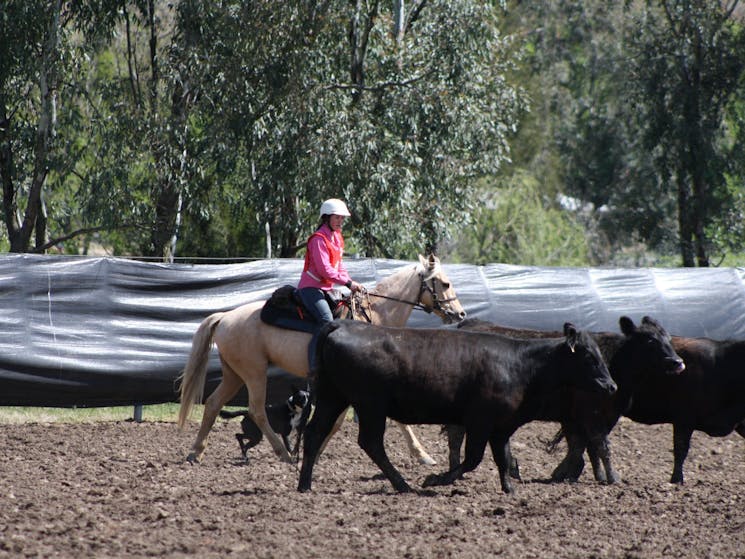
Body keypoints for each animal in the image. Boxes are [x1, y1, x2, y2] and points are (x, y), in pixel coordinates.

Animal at [176, 254, 464, 464]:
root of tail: (225, 316)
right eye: (445, 283)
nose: (460, 314)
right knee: (256, 411)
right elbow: (342, 422)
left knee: (213, 404)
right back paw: (284, 453)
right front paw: (423, 455)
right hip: (254, 374)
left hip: (234, 374)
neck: (375, 315)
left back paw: (195, 452)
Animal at [296, 320, 616, 494]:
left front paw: (509, 488)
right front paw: (436, 479)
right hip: (369, 404)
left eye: (601, 354)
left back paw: (305, 485)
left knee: (314, 434)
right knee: (371, 442)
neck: (519, 365)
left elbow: (503, 457)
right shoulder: (479, 421)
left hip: (333, 397)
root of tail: (342, 324)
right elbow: (473, 458)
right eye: (588, 356)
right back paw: (403, 484)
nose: (611, 386)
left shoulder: (502, 426)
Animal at [450, 318, 684, 484]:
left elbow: (584, 446)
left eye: (668, 339)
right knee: (456, 436)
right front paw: (612, 478)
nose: (678, 362)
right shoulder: (591, 413)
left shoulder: (584, 416)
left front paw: (577, 473)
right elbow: (600, 446)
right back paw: (456, 470)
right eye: (650, 340)